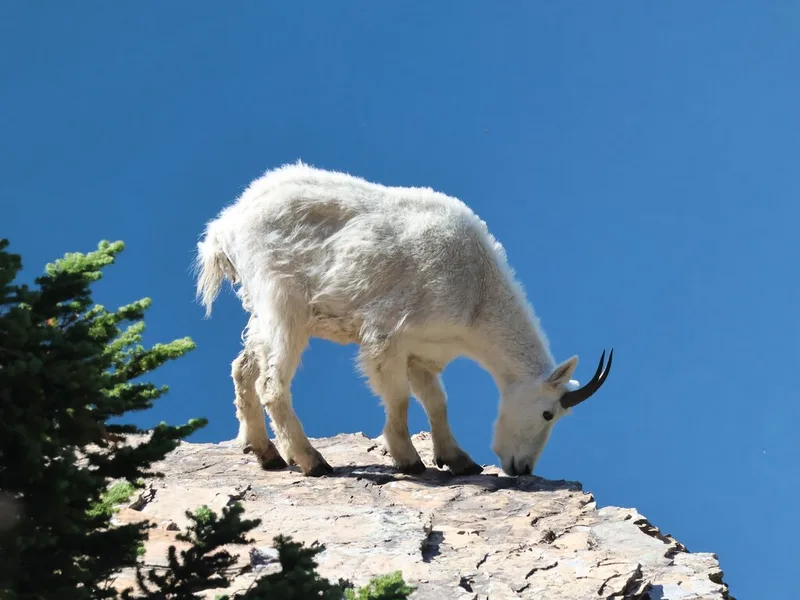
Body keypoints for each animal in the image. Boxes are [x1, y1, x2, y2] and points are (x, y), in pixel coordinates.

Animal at [195, 161, 613, 477]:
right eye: (548, 413)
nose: (522, 468)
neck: (478, 296)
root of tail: (224, 226)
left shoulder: (423, 350)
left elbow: (436, 401)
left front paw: (457, 459)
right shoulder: (386, 334)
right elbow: (399, 398)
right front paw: (408, 459)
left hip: (260, 309)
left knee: (243, 365)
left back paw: (263, 451)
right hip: (282, 302)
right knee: (271, 382)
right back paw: (311, 460)